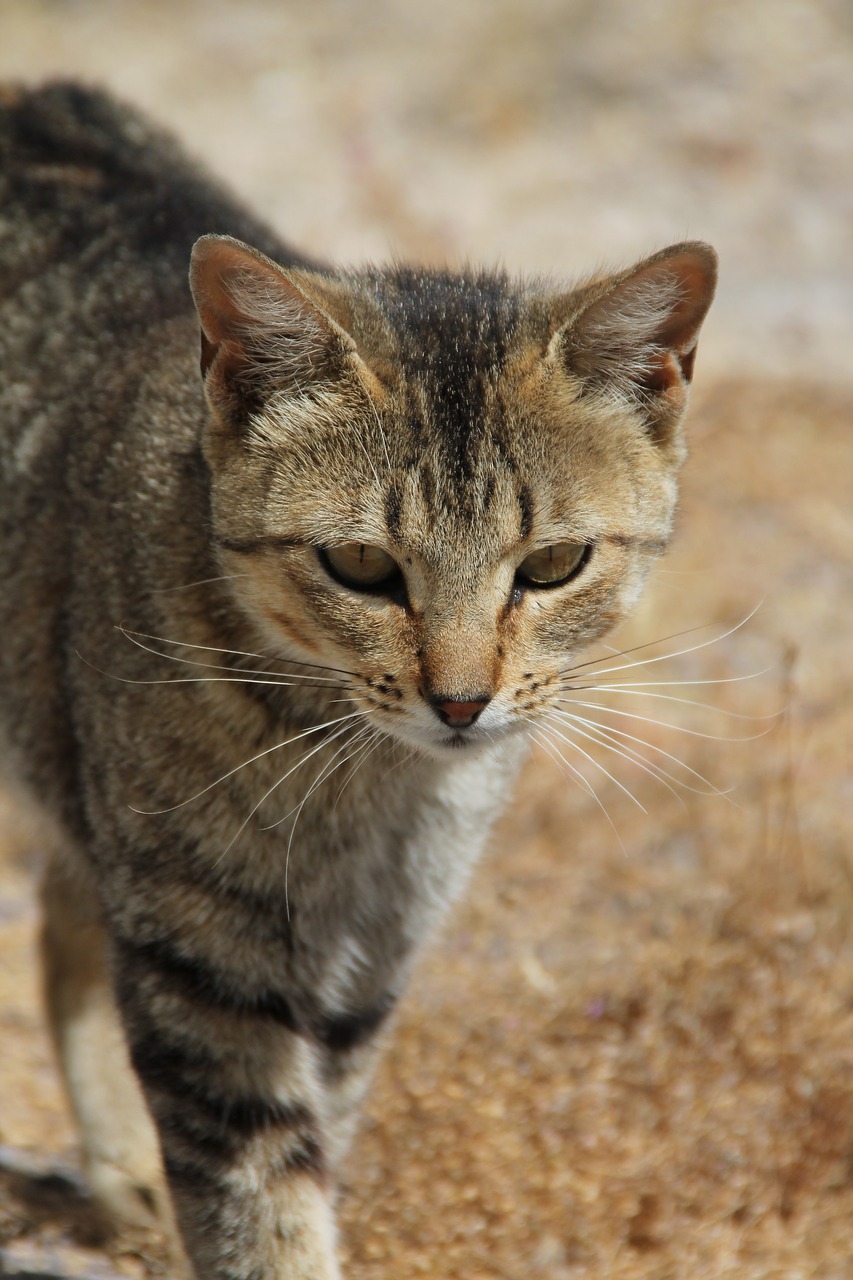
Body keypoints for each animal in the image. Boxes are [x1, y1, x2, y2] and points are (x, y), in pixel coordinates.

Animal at [0, 82, 712, 1280]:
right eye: (363, 567)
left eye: (553, 564)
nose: (462, 701)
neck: (364, 788)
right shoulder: (204, 957)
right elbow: (260, 1197)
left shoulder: (366, 965)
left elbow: (309, 1150)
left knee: (63, 923)